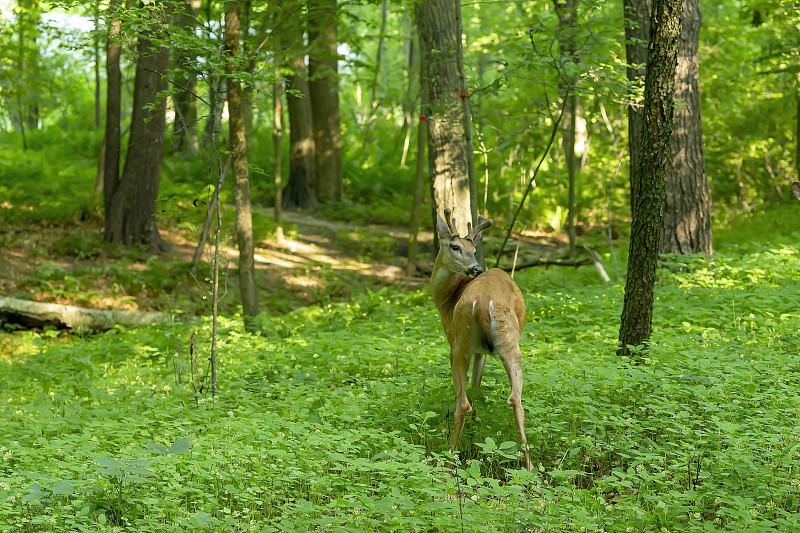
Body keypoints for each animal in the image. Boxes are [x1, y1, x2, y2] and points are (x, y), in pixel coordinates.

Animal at [432, 208, 532, 470]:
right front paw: (476, 432)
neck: (447, 300)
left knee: (462, 403)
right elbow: (477, 388)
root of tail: (484, 300)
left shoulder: (457, 340)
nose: (476, 268)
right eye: (455, 246)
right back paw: (530, 467)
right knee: (516, 399)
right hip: (508, 342)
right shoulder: (480, 351)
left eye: (473, 249)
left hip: (459, 344)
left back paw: (450, 460)